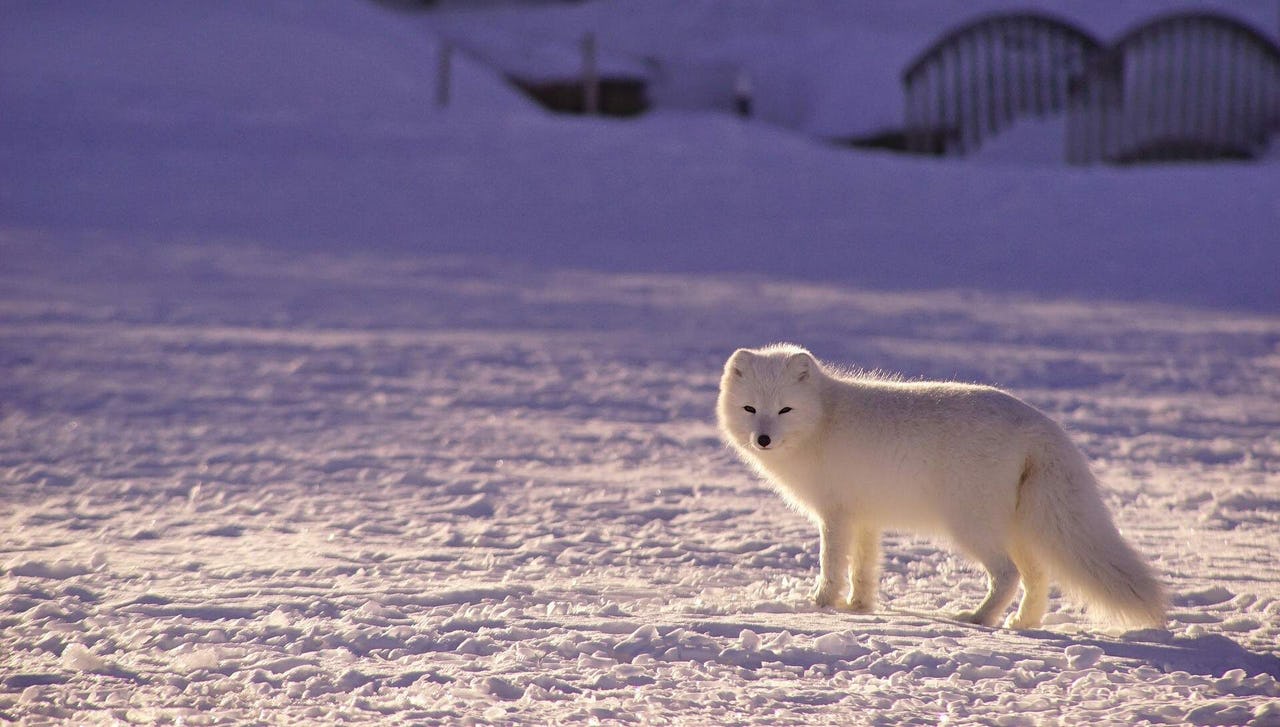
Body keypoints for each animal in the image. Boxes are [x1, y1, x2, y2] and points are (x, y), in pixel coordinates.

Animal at [721, 343, 1172, 627]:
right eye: (750, 409)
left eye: (785, 409)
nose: (763, 439)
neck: (824, 420)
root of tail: (1041, 425)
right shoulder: (866, 518)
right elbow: (864, 567)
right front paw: (858, 607)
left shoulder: (836, 515)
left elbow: (831, 564)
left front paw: (820, 604)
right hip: (1019, 529)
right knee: (1038, 578)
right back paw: (1021, 623)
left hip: (970, 526)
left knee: (1007, 575)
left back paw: (980, 618)